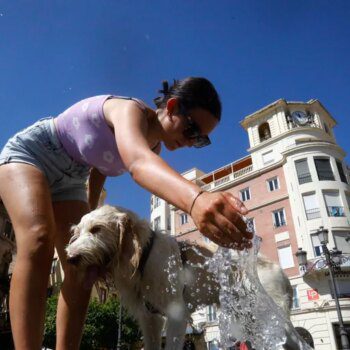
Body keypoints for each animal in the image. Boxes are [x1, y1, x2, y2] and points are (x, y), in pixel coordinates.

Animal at [65, 205, 292, 350]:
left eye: (97, 229)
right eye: (77, 232)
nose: (70, 258)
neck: (145, 257)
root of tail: (279, 269)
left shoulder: (176, 315)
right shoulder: (150, 320)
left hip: (270, 318)